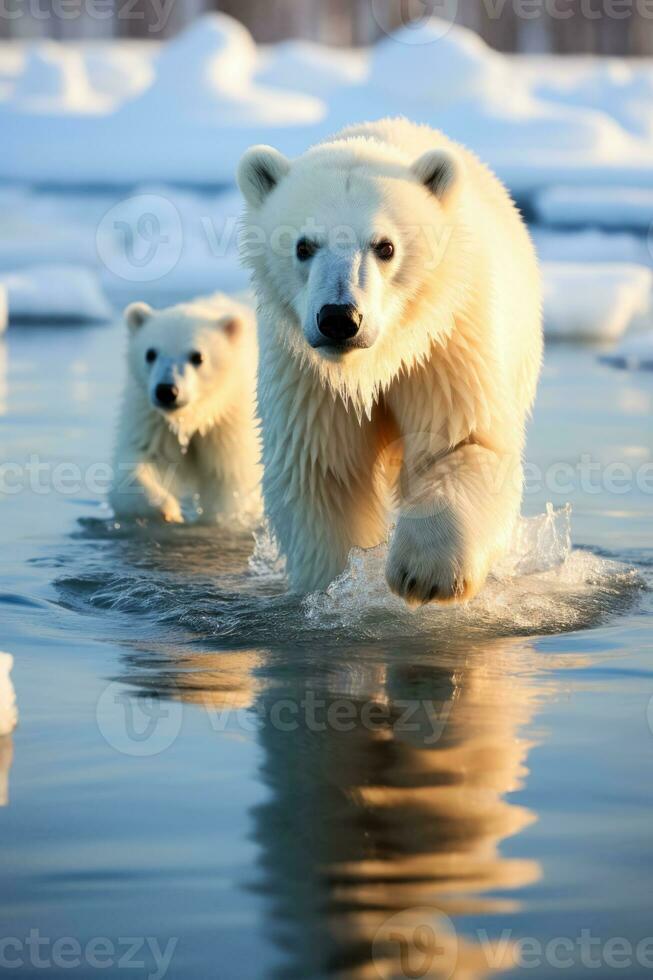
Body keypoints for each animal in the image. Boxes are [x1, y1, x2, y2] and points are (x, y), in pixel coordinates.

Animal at [237, 117, 544, 600]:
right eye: (303, 246)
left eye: (385, 246)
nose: (339, 318)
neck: (376, 360)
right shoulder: (308, 375)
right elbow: (323, 471)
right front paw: (334, 584)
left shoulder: (444, 345)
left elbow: (462, 442)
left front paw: (423, 573)